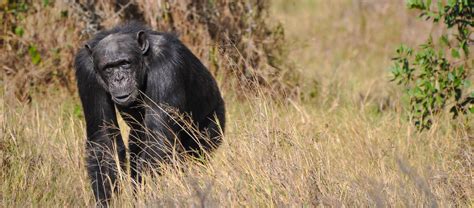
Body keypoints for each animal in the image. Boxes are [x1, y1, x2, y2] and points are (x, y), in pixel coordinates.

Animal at [75, 22, 226, 205]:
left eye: (125, 63)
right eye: (108, 68)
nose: (119, 78)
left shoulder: (166, 63)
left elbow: (158, 140)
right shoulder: (86, 72)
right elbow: (104, 141)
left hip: (213, 123)